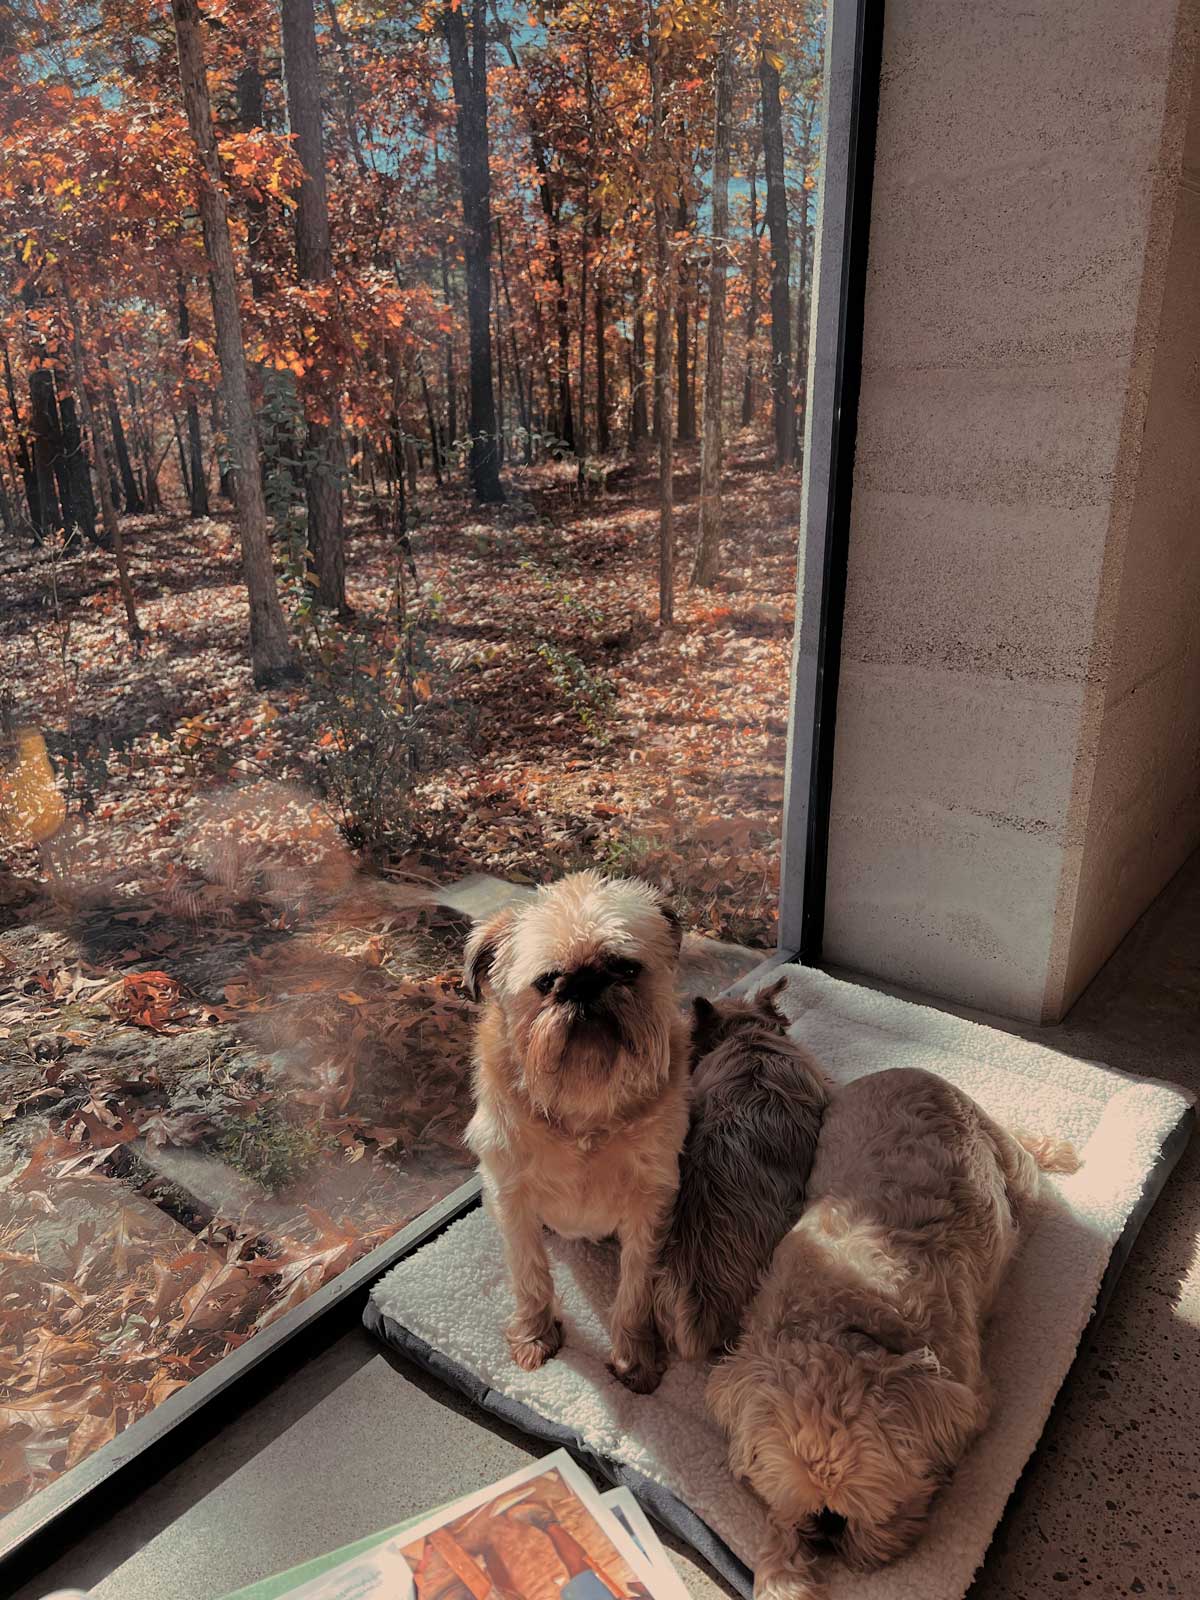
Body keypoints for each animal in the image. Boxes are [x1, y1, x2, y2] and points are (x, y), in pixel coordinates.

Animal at [464, 870, 691, 1395]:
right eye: (547, 981)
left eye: (625, 968)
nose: (584, 982)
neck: (585, 1096)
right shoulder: (511, 1196)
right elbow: (529, 1271)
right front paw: (535, 1333)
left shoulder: (651, 1203)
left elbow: (636, 1284)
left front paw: (635, 1354)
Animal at [710, 1062, 1075, 1600]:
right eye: (808, 1507)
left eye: (874, 1508)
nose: (826, 1528)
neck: (842, 1324)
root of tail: (910, 1070)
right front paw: (782, 1571)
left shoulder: (968, 1386)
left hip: (1010, 1164)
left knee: (1026, 1165)